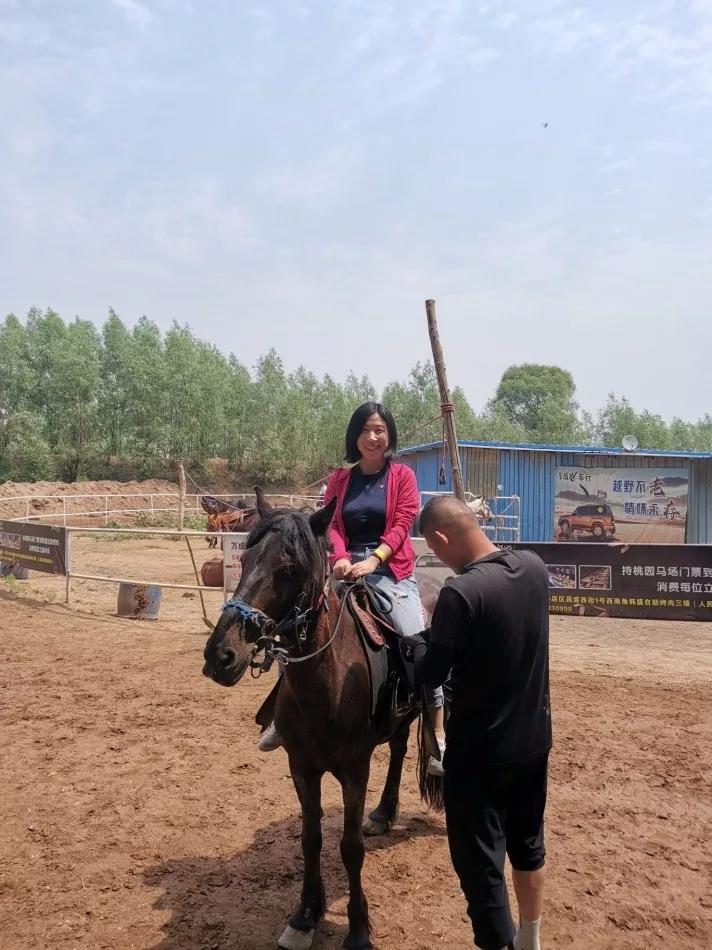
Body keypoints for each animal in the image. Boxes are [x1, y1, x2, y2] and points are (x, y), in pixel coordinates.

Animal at [202, 488, 443, 950]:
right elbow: (311, 839)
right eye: (245, 557)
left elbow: (349, 847)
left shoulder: (355, 769)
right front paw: (304, 915)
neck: (326, 683)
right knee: (399, 747)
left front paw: (358, 928)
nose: (220, 655)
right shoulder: (301, 766)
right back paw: (384, 813)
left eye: (289, 568)